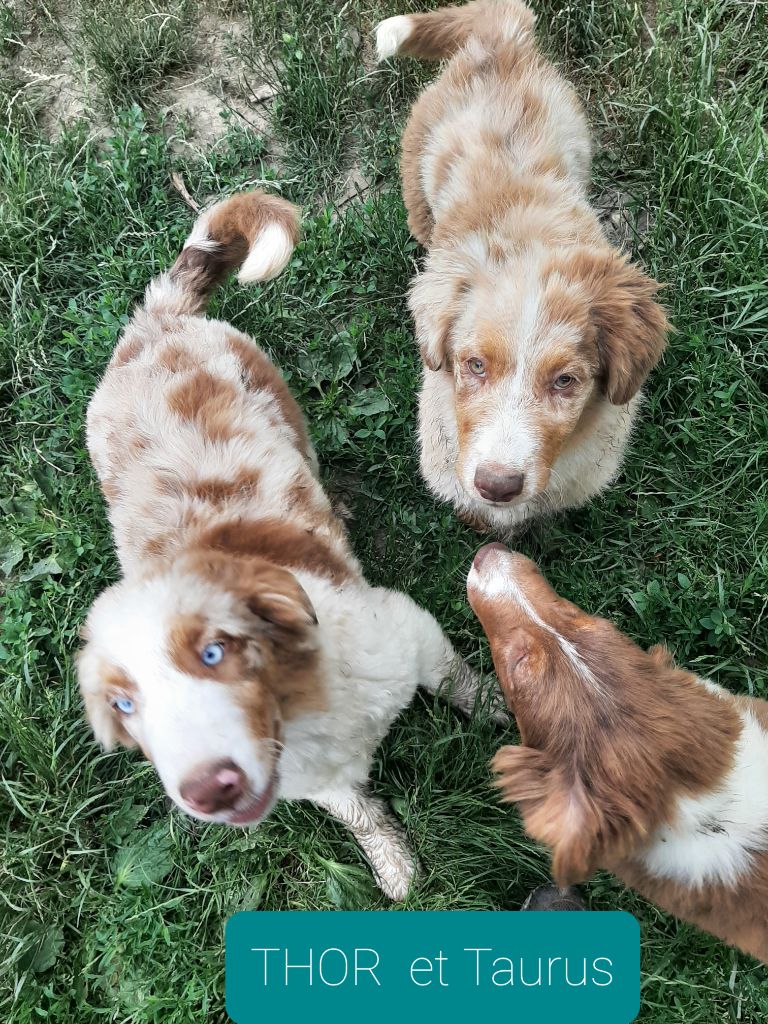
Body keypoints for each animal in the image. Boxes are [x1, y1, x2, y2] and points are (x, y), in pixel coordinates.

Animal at [78, 188, 499, 901]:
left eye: (214, 652)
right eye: (124, 706)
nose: (206, 790)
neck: (303, 707)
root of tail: (153, 323)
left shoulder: (413, 631)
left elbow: (461, 681)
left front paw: (504, 705)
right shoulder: (321, 783)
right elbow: (362, 815)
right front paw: (395, 867)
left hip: (279, 399)